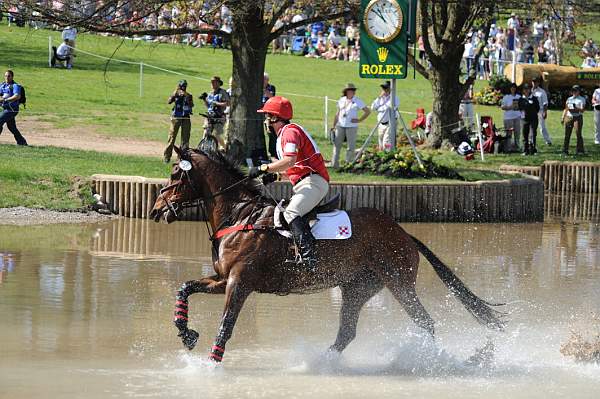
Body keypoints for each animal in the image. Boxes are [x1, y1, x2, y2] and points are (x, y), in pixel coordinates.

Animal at [150, 148, 506, 364]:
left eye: (174, 175)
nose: (155, 210)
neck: (239, 214)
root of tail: (404, 233)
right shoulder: (223, 279)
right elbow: (185, 287)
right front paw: (186, 334)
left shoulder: (239, 283)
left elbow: (226, 324)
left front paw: (210, 365)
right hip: (357, 287)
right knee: (347, 332)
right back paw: (320, 362)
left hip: (398, 282)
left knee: (425, 322)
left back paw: (429, 361)